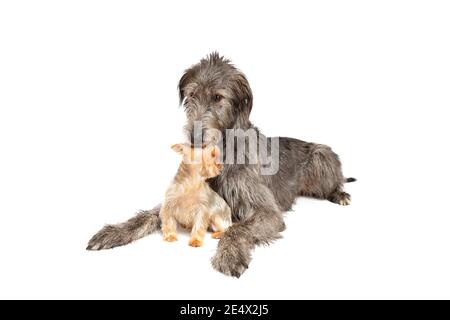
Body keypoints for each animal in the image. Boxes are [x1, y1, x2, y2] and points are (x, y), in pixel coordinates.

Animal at [87, 53, 356, 278]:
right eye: (192, 95)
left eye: (218, 97)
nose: (194, 137)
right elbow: (148, 215)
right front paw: (114, 231)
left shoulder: (265, 211)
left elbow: (236, 229)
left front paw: (229, 254)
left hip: (321, 156)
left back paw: (340, 194)